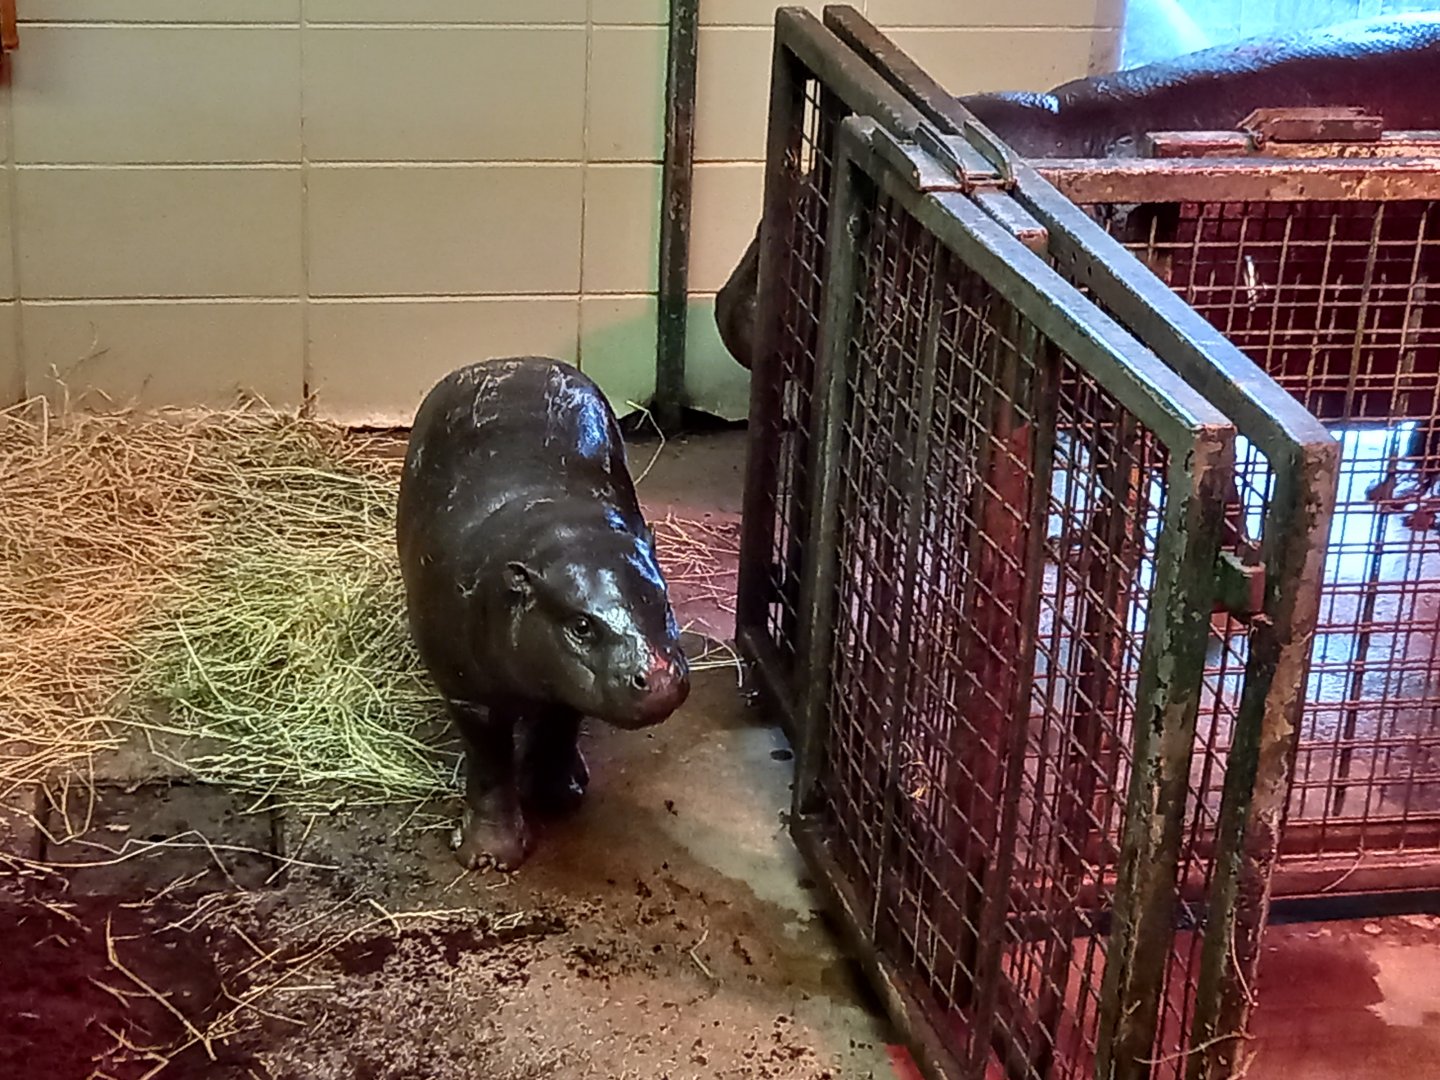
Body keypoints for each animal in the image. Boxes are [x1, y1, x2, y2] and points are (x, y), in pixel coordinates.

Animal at [397, 357, 691, 871]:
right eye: (581, 625)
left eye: (663, 600)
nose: (658, 678)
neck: (556, 531)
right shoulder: (468, 694)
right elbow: (489, 763)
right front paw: (487, 858)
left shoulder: (563, 687)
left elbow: (558, 724)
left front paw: (557, 797)